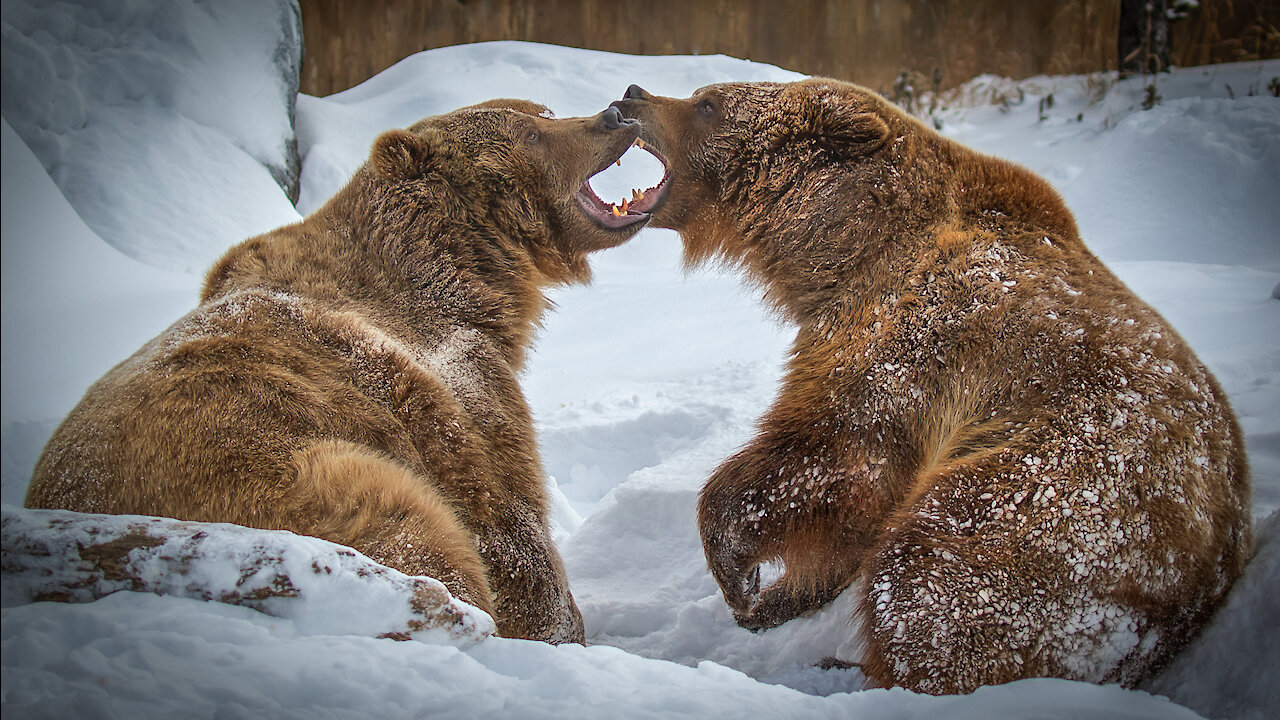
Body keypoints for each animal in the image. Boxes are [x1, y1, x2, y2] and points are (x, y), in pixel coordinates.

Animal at [22, 98, 670, 640]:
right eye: (530, 131)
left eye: (544, 111)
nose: (614, 113)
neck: (461, 271)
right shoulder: (452, 380)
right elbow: (510, 521)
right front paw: (561, 630)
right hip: (286, 482)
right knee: (419, 538)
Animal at [609, 78, 1249, 691]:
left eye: (709, 104)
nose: (634, 96)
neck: (847, 247)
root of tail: (1215, 570)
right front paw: (780, 597)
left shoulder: (917, 336)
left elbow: (834, 455)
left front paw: (740, 576)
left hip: (1065, 502)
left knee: (933, 571)